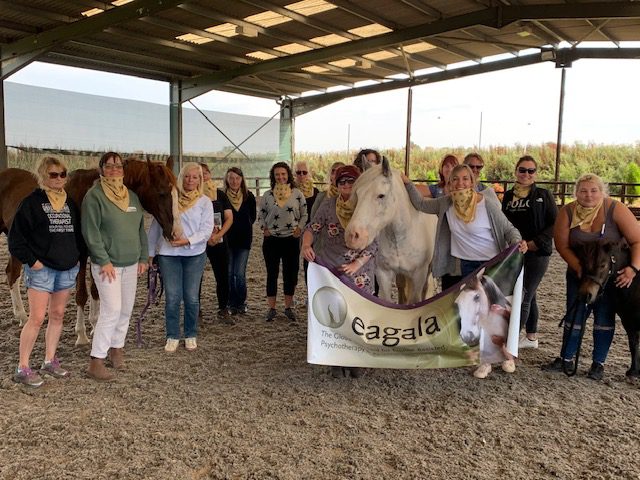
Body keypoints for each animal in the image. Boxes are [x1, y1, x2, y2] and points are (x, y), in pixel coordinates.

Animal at [0, 158, 180, 344]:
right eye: (161, 193)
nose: (175, 233)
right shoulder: (81, 256)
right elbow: (81, 294)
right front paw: (81, 334)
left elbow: (95, 290)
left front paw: (95, 325)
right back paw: (23, 316)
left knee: (12, 273)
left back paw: (21, 316)